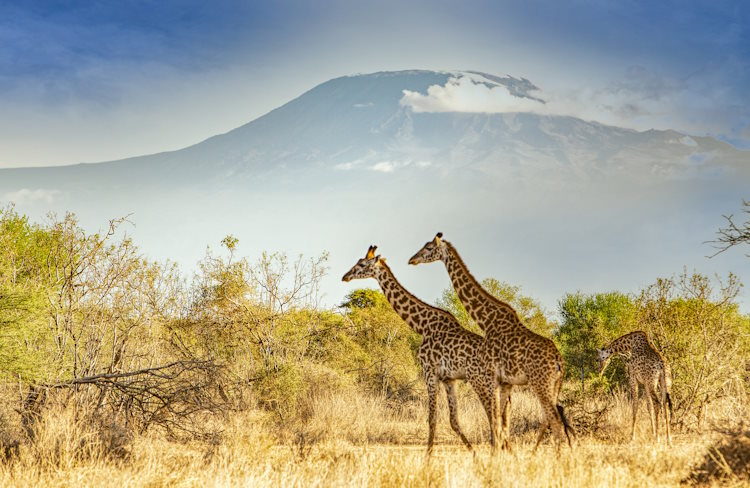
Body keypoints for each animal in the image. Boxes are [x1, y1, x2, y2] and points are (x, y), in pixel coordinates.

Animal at [344, 246, 502, 456]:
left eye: (361, 264)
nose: (345, 276)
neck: (422, 325)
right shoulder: (448, 379)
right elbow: (453, 421)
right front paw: (474, 454)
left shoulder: (430, 372)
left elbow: (432, 419)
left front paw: (427, 458)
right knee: (497, 415)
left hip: (478, 380)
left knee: (493, 415)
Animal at [408, 233, 572, 450]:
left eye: (428, 248)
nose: (412, 260)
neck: (486, 320)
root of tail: (559, 361)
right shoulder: (504, 381)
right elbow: (500, 421)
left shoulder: (490, 376)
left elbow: (496, 421)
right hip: (553, 385)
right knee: (553, 418)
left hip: (540, 384)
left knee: (554, 419)